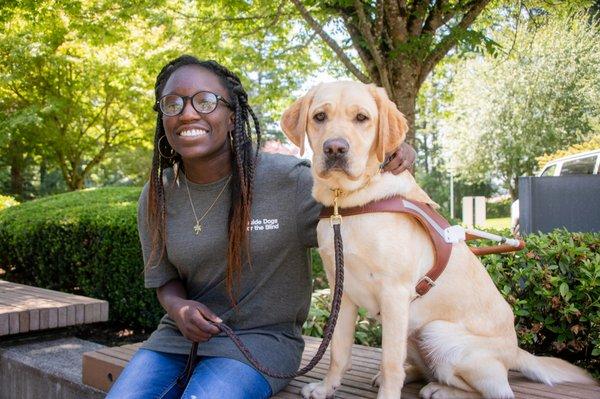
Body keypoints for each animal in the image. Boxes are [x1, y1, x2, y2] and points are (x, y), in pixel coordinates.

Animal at [280, 82, 596, 399]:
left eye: (362, 118)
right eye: (319, 116)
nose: (335, 148)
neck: (345, 202)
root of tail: (515, 351)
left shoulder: (395, 293)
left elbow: (389, 361)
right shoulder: (342, 291)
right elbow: (339, 350)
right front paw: (326, 388)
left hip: (436, 332)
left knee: (496, 392)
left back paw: (441, 390)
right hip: (413, 330)